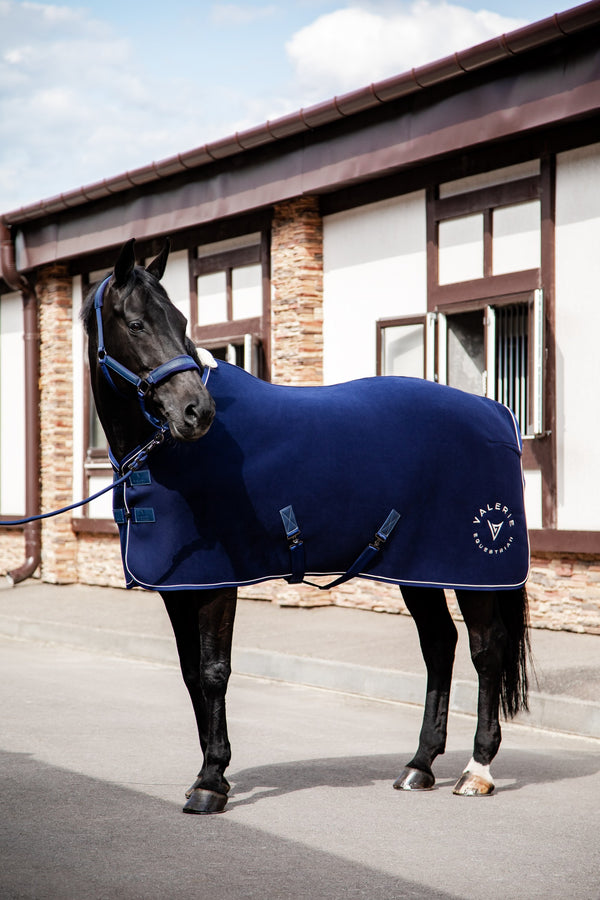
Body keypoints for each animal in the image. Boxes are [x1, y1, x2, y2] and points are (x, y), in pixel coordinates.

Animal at [82, 237, 530, 814]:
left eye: (180, 321)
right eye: (136, 323)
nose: (195, 412)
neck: (168, 458)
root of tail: (496, 413)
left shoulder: (218, 583)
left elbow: (214, 672)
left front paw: (211, 782)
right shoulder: (181, 590)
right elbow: (190, 674)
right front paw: (206, 774)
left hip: (472, 571)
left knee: (485, 648)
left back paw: (477, 770)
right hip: (419, 569)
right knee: (439, 645)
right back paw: (420, 765)